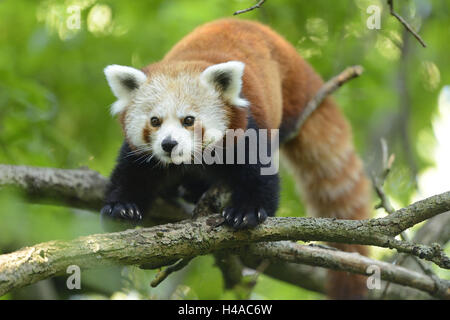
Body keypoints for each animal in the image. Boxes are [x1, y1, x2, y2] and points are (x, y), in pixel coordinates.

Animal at [103, 18, 370, 298]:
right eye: (155, 121)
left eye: (188, 120)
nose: (169, 144)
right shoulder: (142, 154)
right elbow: (132, 173)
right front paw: (123, 208)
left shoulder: (245, 129)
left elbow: (259, 174)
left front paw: (246, 212)